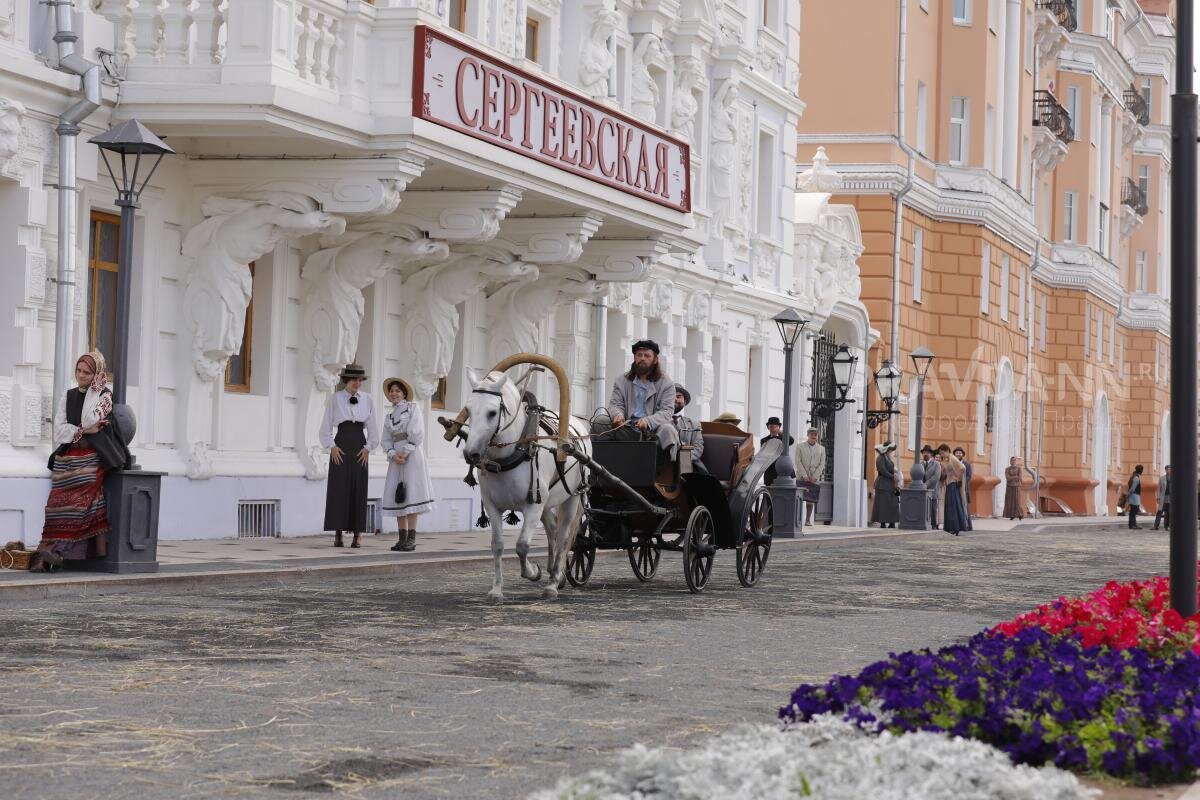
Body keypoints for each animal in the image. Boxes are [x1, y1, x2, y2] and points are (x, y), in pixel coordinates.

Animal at [458, 369, 590, 599]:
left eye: (492, 412)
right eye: (468, 409)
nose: (471, 453)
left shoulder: (533, 507)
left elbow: (521, 546)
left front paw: (532, 571)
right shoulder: (493, 506)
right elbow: (498, 545)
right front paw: (497, 589)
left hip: (572, 498)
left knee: (563, 537)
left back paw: (552, 583)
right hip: (547, 503)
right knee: (552, 531)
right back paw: (554, 572)